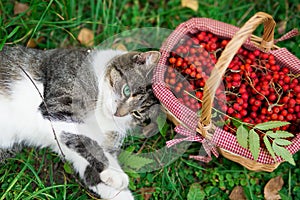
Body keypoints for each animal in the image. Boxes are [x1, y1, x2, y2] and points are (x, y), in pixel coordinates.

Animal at [0, 45, 162, 200]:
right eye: (127, 90)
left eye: (137, 113)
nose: (118, 113)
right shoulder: (55, 109)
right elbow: (86, 139)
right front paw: (114, 173)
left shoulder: (66, 146)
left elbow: (90, 169)